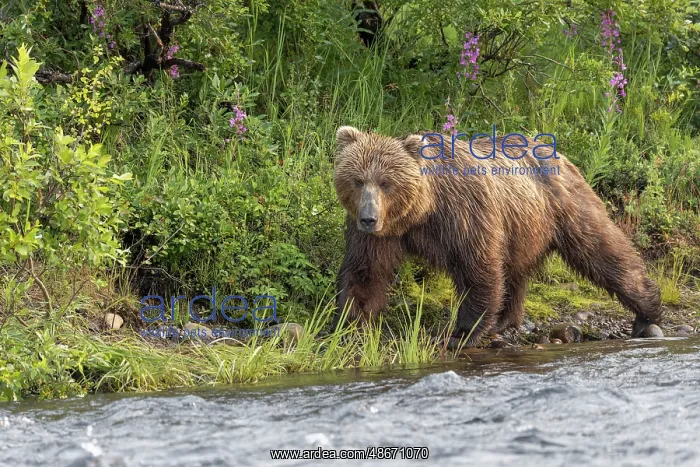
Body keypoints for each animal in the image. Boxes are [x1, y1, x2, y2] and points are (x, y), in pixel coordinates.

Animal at [332, 125, 663, 346]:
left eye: (386, 182)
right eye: (357, 180)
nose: (369, 218)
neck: (421, 212)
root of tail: (560, 154)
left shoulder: (464, 216)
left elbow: (478, 270)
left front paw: (461, 332)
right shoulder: (379, 235)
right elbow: (366, 272)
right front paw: (349, 321)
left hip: (564, 207)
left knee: (601, 249)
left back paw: (647, 311)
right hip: (522, 228)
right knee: (515, 273)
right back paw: (506, 319)